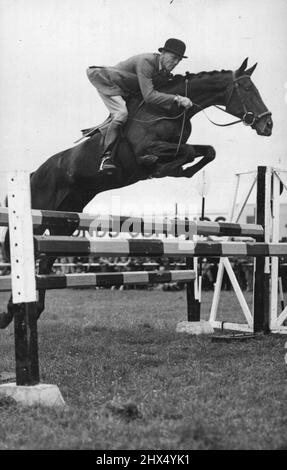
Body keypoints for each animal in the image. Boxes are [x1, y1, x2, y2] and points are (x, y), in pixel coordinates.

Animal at [0, 57, 274, 326]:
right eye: (247, 88)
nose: (268, 125)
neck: (168, 110)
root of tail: (34, 173)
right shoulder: (147, 148)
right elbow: (176, 153)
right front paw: (164, 168)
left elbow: (208, 151)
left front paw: (181, 170)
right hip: (38, 216)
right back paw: (13, 311)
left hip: (64, 222)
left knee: (45, 263)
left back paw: (25, 311)